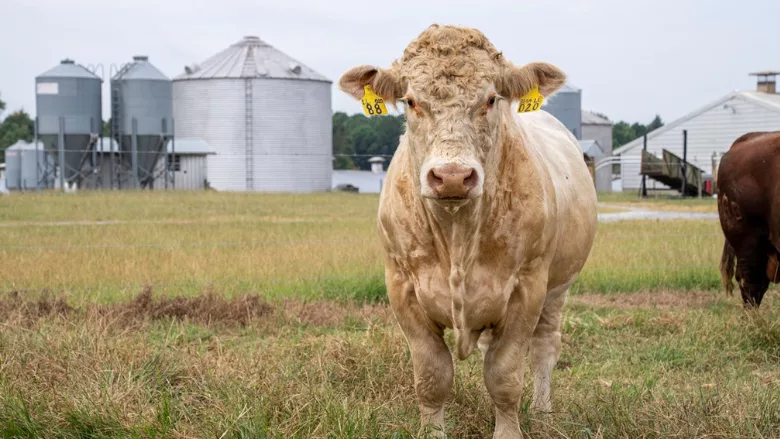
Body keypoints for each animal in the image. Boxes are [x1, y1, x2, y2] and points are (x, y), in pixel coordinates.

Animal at [338, 24, 598, 438]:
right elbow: (432, 375)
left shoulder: (527, 287)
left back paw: (543, 412)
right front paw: (432, 431)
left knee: (544, 348)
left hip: (559, 287)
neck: (457, 234)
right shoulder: (401, 286)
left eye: (491, 98)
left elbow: (504, 376)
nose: (451, 177)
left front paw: (508, 430)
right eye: (411, 101)